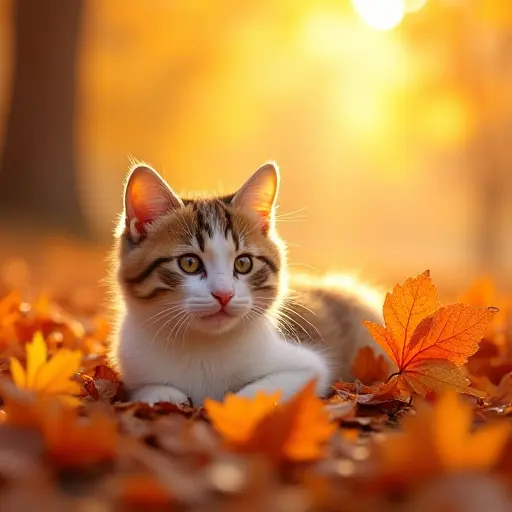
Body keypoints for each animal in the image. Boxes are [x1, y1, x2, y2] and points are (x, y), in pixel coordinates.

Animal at [110, 162, 386, 406]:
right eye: (189, 263)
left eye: (243, 263)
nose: (224, 295)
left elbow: (270, 387)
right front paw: (161, 394)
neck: (204, 346)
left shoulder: (310, 365)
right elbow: (144, 387)